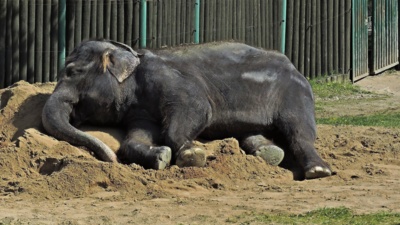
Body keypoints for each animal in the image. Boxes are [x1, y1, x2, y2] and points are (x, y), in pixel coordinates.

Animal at [42, 40, 332, 179]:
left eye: (72, 72)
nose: (110, 160)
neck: (131, 54)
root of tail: (295, 65)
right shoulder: (139, 109)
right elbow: (135, 138)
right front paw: (161, 157)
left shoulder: (169, 80)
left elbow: (197, 108)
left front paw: (192, 155)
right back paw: (269, 154)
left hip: (295, 95)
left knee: (299, 132)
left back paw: (318, 171)